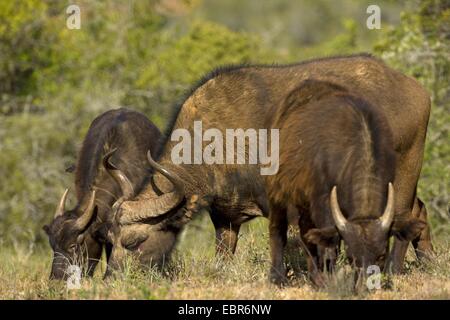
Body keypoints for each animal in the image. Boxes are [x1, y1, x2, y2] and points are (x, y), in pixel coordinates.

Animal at [103, 53, 430, 282]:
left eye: (134, 242)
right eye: (109, 240)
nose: (112, 279)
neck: (216, 139)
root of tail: (415, 88)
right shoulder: (225, 215)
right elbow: (224, 252)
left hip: (403, 172)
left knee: (403, 215)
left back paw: (392, 270)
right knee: (419, 210)